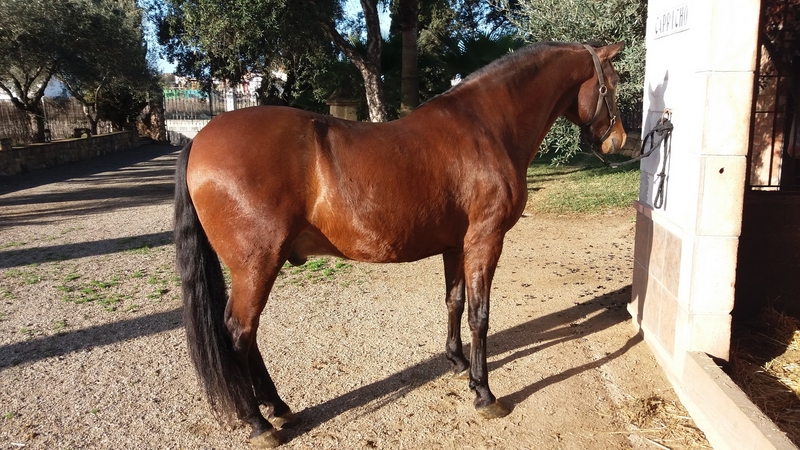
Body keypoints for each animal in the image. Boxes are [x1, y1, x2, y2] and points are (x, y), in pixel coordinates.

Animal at [174, 41, 626, 448]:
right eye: (612, 84)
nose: (619, 140)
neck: (487, 127)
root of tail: (199, 140)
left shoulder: (455, 245)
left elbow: (454, 302)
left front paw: (457, 362)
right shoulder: (485, 240)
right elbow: (479, 315)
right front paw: (484, 393)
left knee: (248, 335)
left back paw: (278, 407)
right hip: (257, 265)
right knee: (239, 332)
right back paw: (259, 422)